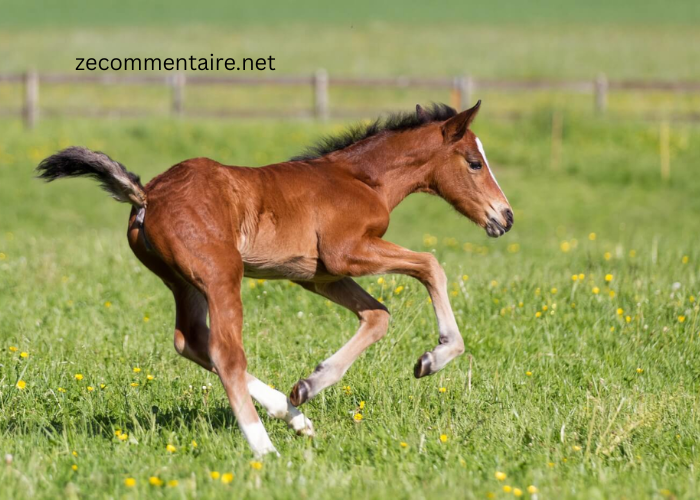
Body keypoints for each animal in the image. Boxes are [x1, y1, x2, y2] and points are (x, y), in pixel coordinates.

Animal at [36, 100, 513, 457]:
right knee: (225, 353)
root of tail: (147, 195)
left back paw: (295, 417)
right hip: (221, 275)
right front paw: (436, 357)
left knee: (191, 340)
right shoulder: (347, 253)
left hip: (184, 283)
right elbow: (431, 264)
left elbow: (378, 316)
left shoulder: (318, 276)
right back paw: (264, 448)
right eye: (474, 163)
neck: (361, 180)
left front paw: (308, 386)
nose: (504, 217)